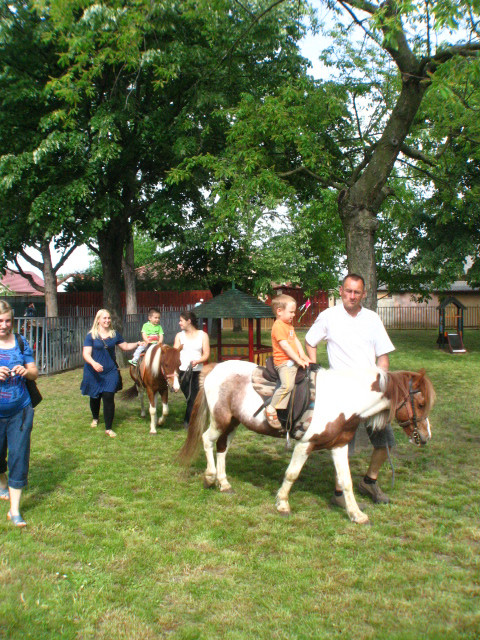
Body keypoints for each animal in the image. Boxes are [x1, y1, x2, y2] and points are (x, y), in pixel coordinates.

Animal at [180, 362, 436, 524]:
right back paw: (210, 477)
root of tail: (214, 369)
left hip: (233, 422)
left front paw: (356, 515)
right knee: (207, 440)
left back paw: (224, 483)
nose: (425, 437)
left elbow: (346, 481)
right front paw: (283, 504)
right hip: (220, 420)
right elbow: (292, 474)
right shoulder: (305, 445)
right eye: (421, 404)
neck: (344, 400)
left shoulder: (339, 446)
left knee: (222, 447)